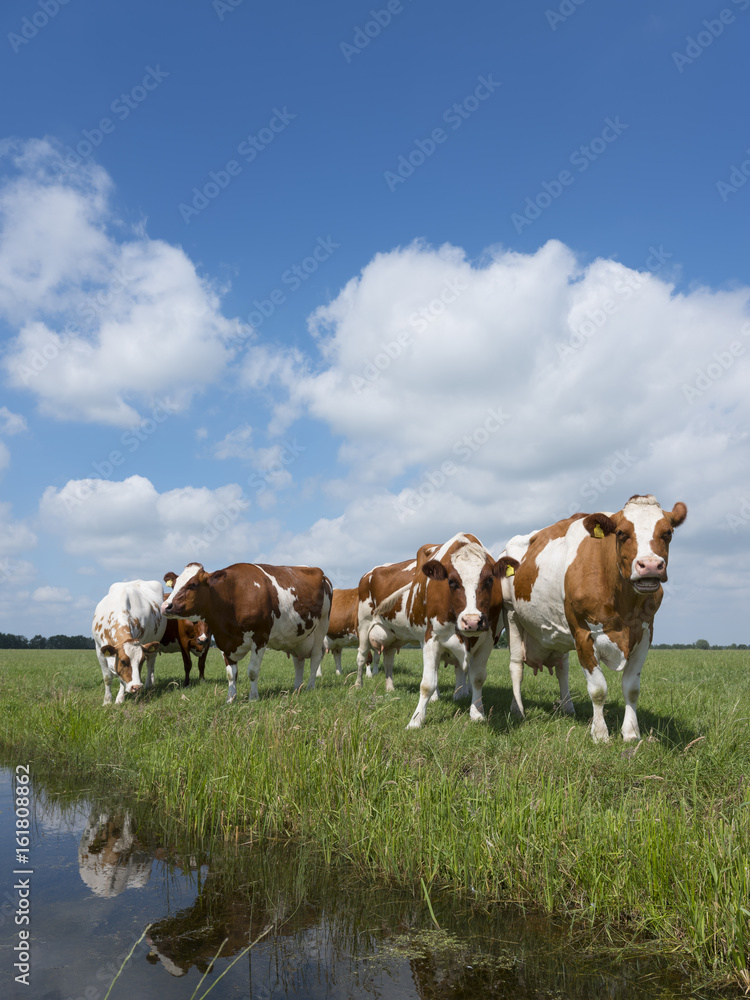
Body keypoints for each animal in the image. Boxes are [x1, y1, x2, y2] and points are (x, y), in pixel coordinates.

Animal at [93, 576, 166, 708]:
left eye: (141, 661)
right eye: (123, 661)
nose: (136, 687)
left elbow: (122, 680)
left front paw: (119, 699)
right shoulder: (99, 648)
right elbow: (107, 677)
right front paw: (107, 701)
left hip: (154, 645)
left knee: (150, 665)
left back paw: (148, 685)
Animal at [162, 564, 332, 704]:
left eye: (193, 585)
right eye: (174, 585)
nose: (165, 606)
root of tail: (321, 573)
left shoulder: (260, 638)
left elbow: (252, 671)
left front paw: (253, 698)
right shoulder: (223, 642)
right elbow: (231, 674)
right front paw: (230, 699)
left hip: (322, 625)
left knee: (315, 657)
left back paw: (310, 687)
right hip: (297, 636)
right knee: (298, 660)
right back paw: (297, 687)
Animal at [356, 532, 516, 728]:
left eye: (490, 579)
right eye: (452, 581)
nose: (472, 622)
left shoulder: (488, 638)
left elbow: (477, 677)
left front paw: (477, 713)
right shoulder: (431, 639)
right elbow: (427, 683)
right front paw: (416, 720)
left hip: (392, 636)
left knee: (388, 660)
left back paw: (390, 688)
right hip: (364, 625)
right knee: (362, 656)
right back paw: (357, 685)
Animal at [506, 494, 688, 744]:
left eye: (668, 532)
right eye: (621, 533)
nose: (650, 565)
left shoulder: (645, 633)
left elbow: (632, 688)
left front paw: (631, 733)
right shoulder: (583, 634)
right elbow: (598, 689)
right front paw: (600, 734)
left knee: (562, 668)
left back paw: (568, 708)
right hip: (512, 616)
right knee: (516, 666)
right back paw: (517, 710)